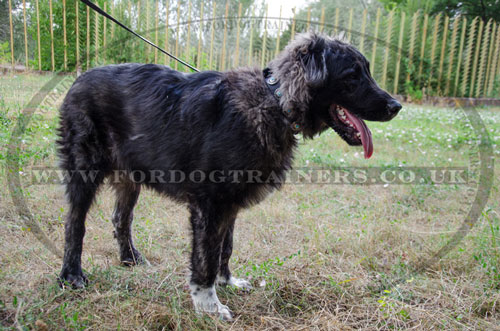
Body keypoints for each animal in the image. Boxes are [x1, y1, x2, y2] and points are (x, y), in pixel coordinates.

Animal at [57, 33, 402, 320]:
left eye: (366, 71)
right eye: (351, 76)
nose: (396, 106)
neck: (275, 101)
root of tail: (78, 79)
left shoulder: (230, 204)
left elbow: (226, 245)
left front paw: (226, 281)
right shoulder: (209, 205)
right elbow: (206, 256)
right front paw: (208, 304)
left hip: (131, 177)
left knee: (121, 218)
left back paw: (129, 260)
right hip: (84, 171)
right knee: (75, 223)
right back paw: (71, 275)